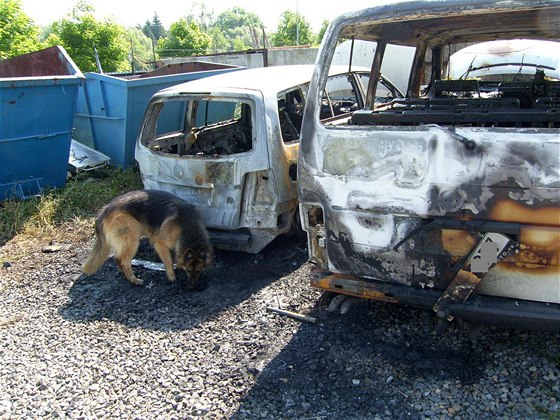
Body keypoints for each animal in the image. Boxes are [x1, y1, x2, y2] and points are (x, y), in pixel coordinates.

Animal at [82, 190, 213, 288]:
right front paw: (171, 276)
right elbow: (168, 261)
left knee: (118, 258)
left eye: (199, 271)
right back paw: (134, 280)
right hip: (132, 239)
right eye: (189, 270)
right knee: (124, 261)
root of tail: (104, 210)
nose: (191, 287)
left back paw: (124, 273)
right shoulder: (160, 244)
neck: (187, 226)